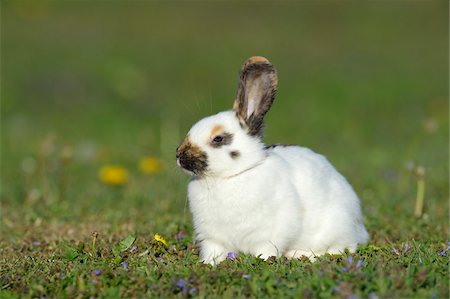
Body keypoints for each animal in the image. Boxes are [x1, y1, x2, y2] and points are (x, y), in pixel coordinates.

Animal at [176, 55, 370, 264]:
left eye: (218, 139)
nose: (179, 155)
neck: (230, 176)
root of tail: (359, 225)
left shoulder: (269, 235)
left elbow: (265, 250)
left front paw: (263, 261)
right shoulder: (213, 239)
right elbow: (214, 252)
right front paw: (209, 264)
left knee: (343, 247)